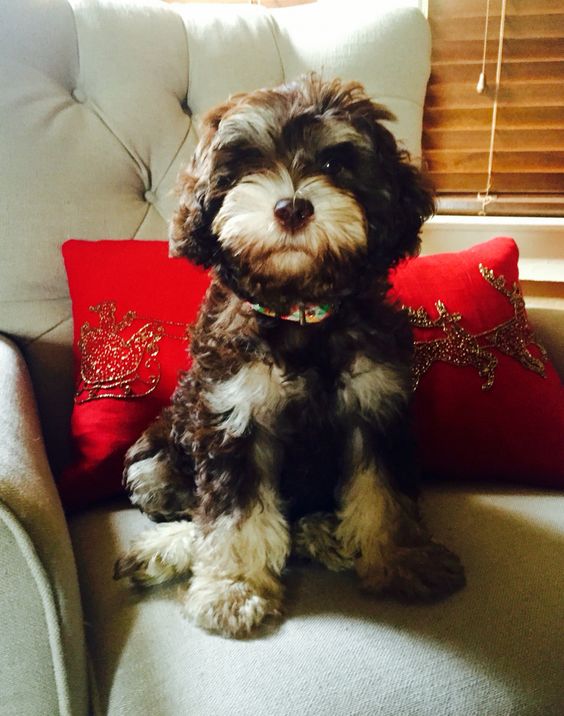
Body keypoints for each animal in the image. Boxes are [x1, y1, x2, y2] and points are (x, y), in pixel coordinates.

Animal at [112, 74, 464, 636]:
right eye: (249, 164)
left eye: (335, 164)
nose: (292, 208)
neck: (300, 308)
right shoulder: (234, 419)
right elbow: (230, 516)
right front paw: (233, 588)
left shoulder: (375, 407)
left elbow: (384, 495)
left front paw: (402, 560)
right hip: (153, 462)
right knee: (192, 511)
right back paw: (163, 550)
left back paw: (326, 532)